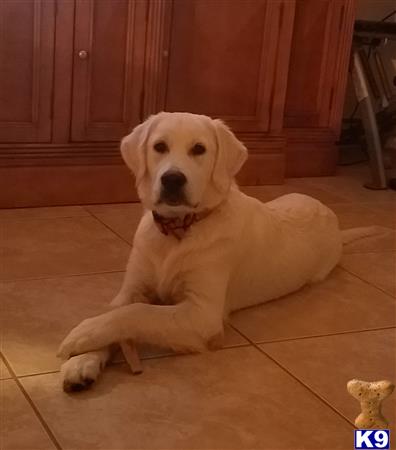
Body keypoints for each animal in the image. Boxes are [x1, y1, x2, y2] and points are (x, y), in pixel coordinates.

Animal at [58, 111, 378, 390]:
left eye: (199, 149)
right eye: (159, 146)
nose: (172, 179)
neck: (178, 230)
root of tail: (331, 218)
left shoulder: (203, 314)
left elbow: (135, 313)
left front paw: (81, 334)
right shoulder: (132, 287)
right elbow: (114, 311)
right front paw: (83, 361)